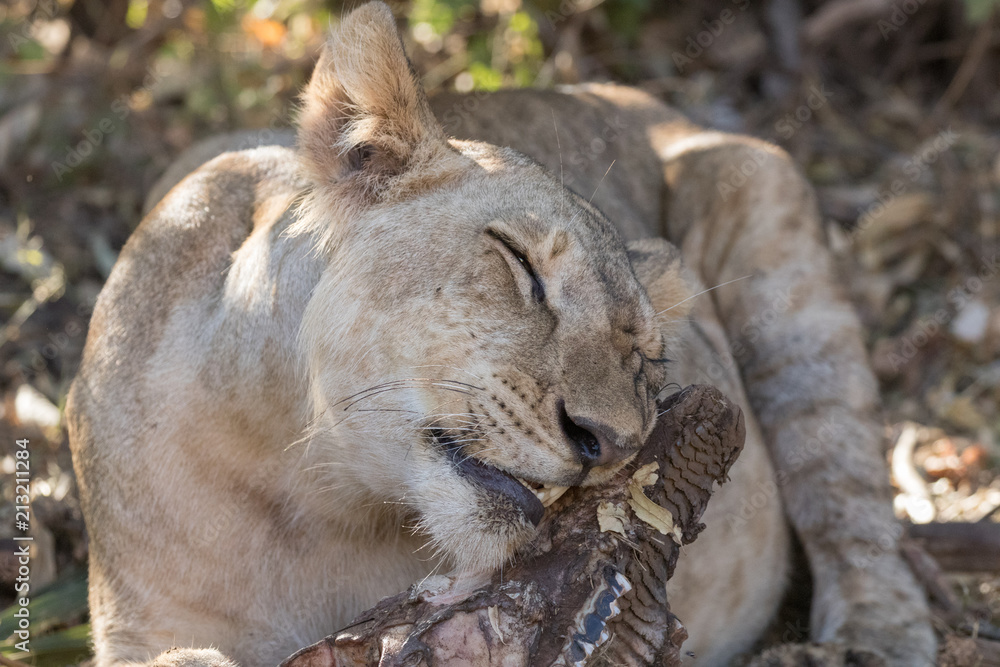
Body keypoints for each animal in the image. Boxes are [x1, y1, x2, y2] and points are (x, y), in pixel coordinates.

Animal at [67, 3, 935, 666]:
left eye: (646, 359)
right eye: (520, 263)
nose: (611, 444)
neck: (316, 489)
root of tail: (649, 102)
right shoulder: (142, 625)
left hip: (774, 228)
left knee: (848, 496)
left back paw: (875, 635)